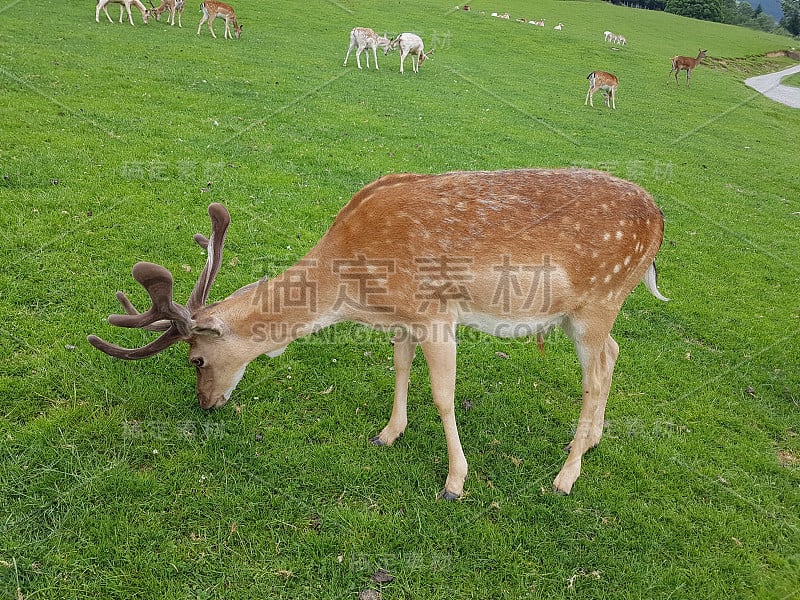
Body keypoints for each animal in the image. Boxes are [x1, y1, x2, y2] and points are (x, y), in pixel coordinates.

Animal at [89, 168, 668, 496]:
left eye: (196, 360)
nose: (206, 404)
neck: (355, 288)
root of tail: (662, 222)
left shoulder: (435, 311)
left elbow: (443, 396)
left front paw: (455, 482)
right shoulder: (405, 318)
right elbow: (400, 368)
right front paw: (389, 433)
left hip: (599, 299)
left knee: (597, 370)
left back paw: (566, 475)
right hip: (590, 310)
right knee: (615, 353)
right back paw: (592, 441)